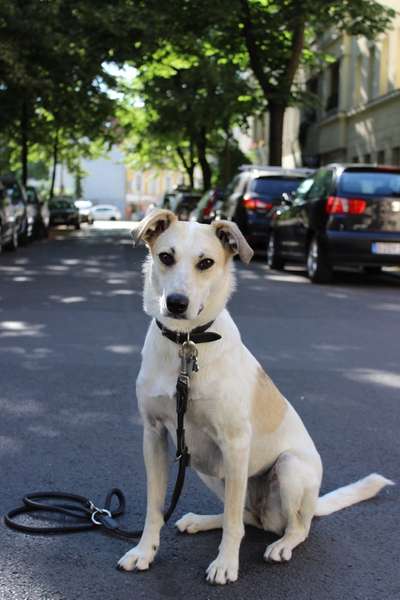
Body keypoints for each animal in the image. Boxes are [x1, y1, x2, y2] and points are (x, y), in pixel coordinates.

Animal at [118, 209, 394, 584]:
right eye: (165, 257)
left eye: (206, 262)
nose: (176, 303)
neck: (186, 345)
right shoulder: (154, 436)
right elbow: (155, 508)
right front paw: (144, 552)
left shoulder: (235, 444)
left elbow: (234, 523)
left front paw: (225, 564)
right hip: (205, 466)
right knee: (249, 516)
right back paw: (201, 521)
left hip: (288, 469)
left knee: (290, 526)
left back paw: (281, 545)